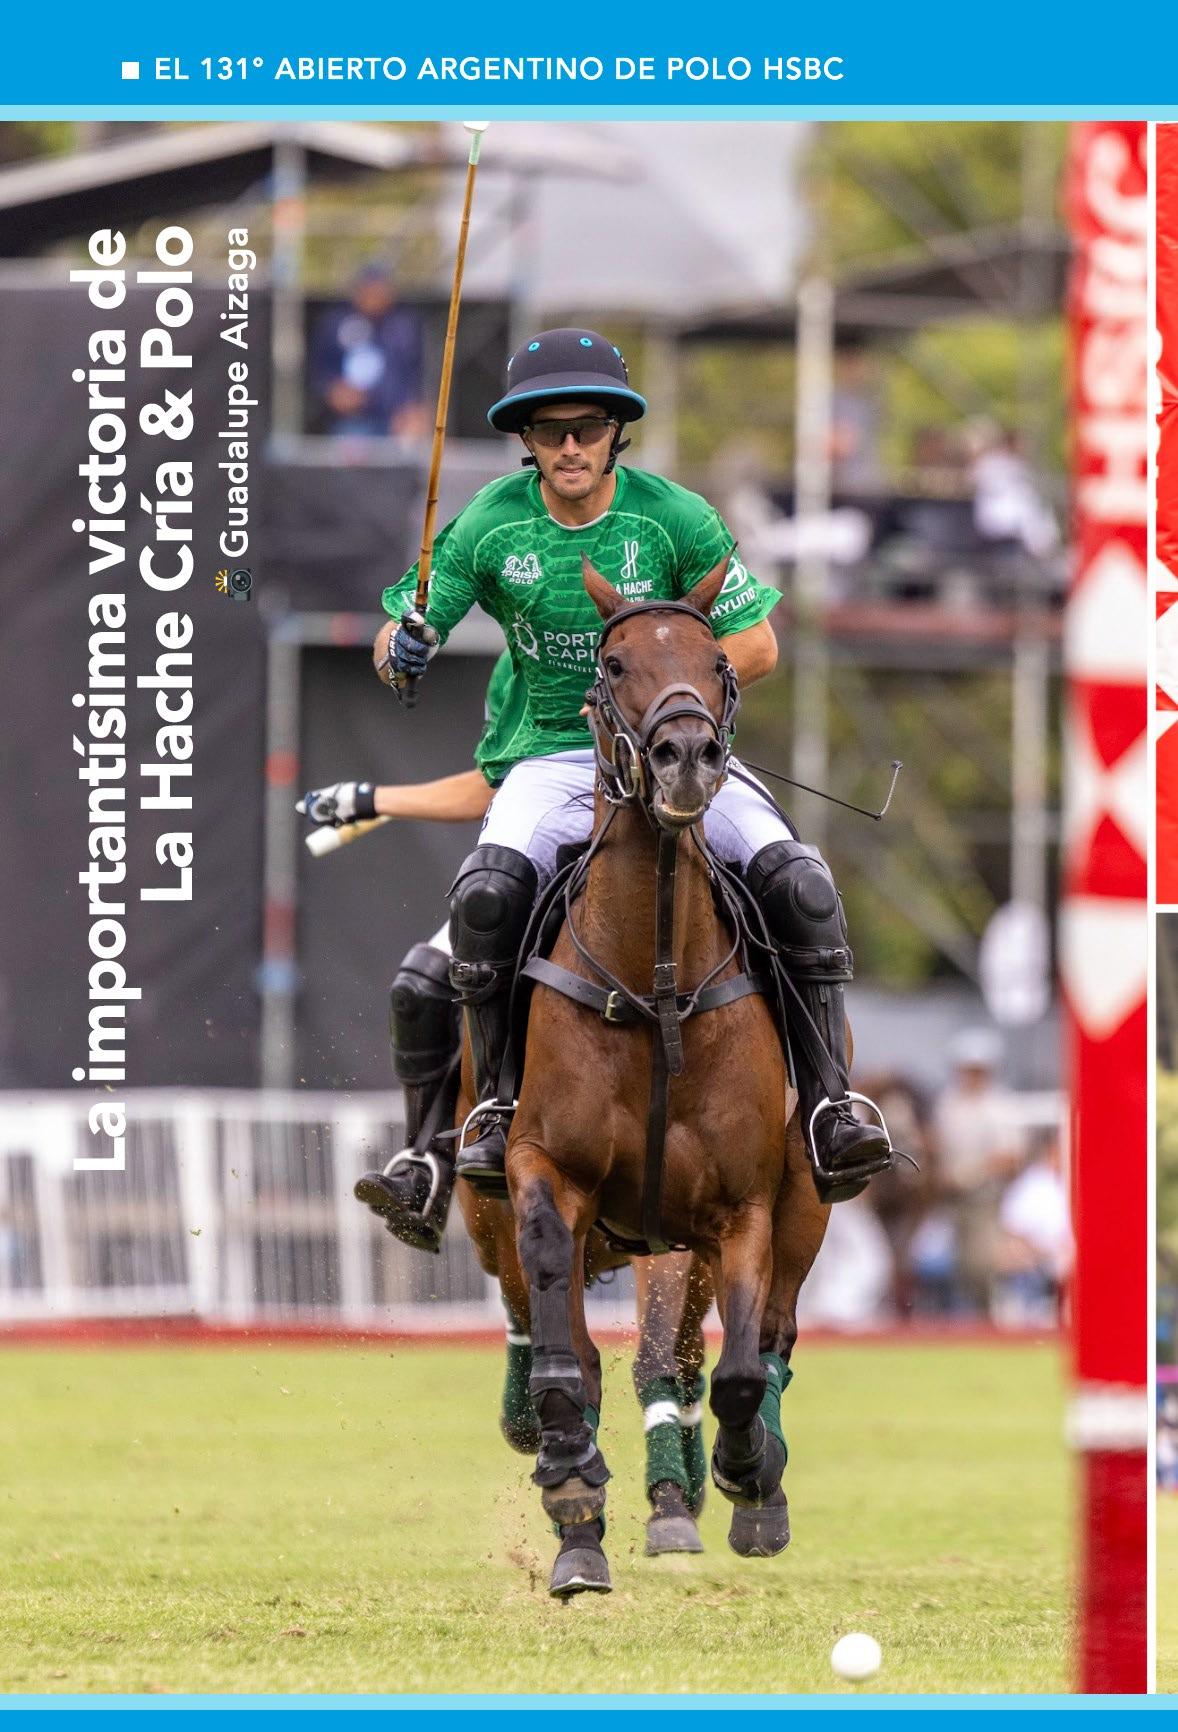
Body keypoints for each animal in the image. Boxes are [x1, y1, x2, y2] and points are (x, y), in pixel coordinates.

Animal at [494, 554, 830, 1595]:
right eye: (612, 663)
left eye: (717, 659)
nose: (686, 755)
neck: (654, 983)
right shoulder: (541, 1170)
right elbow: (565, 1348)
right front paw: (572, 1496)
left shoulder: (742, 1206)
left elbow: (739, 1370)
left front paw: (746, 1473)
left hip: (805, 1194)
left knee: (770, 1338)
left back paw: (754, 1487)